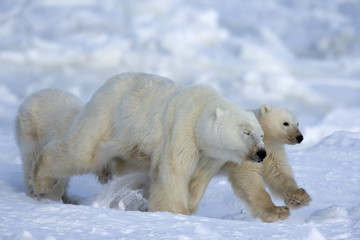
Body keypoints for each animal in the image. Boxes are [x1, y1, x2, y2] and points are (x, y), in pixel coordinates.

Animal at [29, 72, 266, 214]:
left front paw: (188, 206)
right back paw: (40, 180)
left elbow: (197, 182)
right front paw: (175, 212)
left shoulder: (210, 156)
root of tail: (106, 84)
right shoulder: (182, 132)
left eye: (261, 134)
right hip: (107, 119)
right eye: (246, 132)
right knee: (82, 153)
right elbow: (173, 174)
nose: (261, 153)